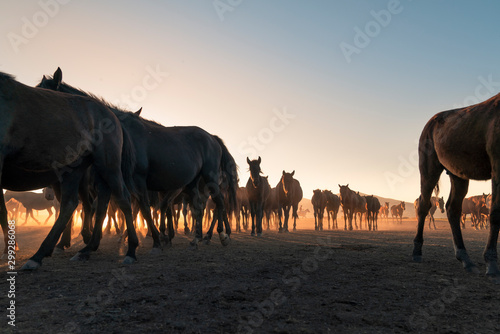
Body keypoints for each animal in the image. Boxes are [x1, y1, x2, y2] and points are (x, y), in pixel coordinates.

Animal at [0, 70, 137, 268]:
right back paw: (77, 249)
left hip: (108, 166)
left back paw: (130, 250)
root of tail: (113, 116)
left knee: (121, 200)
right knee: (79, 204)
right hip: (78, 171)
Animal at [38, 68, 237, 250]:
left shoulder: (138, 180)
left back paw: (220, 236)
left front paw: (155, 239)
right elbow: (105, 209)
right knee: (198, 207)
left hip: (209, 177)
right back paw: (196, 238)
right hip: (192, 183)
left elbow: (143, 209)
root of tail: (212, 137)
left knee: (219, 203)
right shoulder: (109, 181)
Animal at [412, 92, 500, 280]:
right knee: (423, 206)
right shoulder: (498, 167)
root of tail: (431, 123)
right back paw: (417, 251)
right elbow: (496, 213)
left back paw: (466, 259)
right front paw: (492, 265)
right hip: (429, 170)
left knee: (453, 209)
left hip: (458, 175)